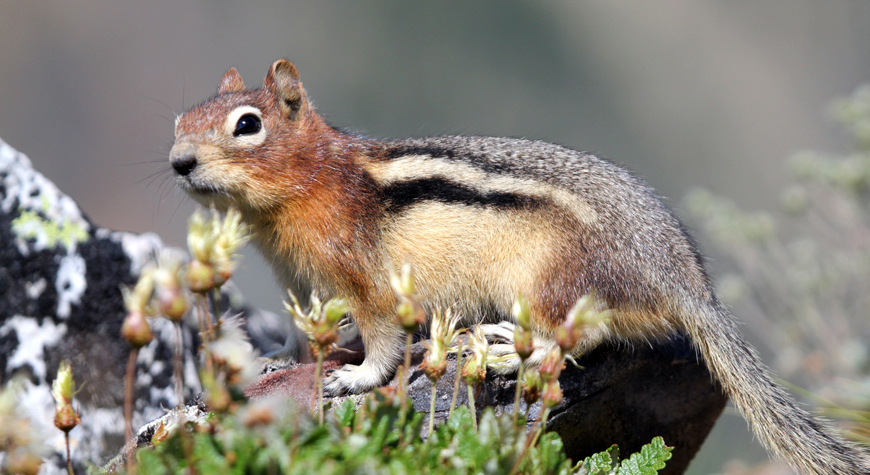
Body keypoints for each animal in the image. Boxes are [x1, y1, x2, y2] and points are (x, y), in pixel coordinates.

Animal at [170, 60, 870, 475]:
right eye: (178, 119)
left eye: (248, 125)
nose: (178, 162)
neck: (309, 182)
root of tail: (685, 282)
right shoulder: (301, 282)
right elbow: (300, 334)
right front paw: (274, 362)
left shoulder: (365, 282)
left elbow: (383, 342)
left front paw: (354, 377)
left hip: (556, 280)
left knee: (580, 338)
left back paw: (509, 350)